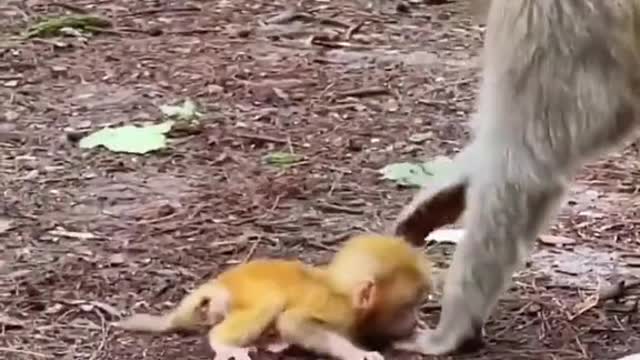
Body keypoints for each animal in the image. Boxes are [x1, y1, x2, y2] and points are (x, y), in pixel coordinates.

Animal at [115, 233, 436, 360]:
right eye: (405, 307)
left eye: (416, 306)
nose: (412, 320)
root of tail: (222, 281)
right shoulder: (337, 309)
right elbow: (293, 322)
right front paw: (357, 353)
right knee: (268, 306)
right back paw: (225, 343)